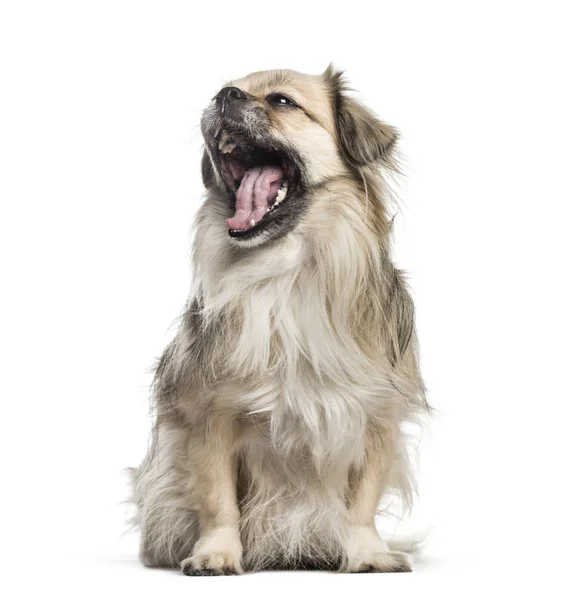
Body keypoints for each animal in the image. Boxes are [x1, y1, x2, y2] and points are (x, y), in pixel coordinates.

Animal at [131, 63, 428, 576]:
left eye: (283, 101)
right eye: (227, 90)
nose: (224, 94)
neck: (283, 273)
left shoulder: (375, 417)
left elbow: (363, 500)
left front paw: (367, 554)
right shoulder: (210, 416)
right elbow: (217, 499)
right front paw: (216, 555)